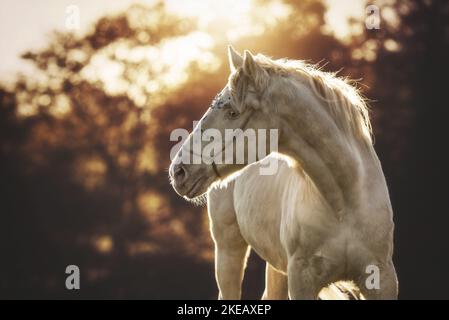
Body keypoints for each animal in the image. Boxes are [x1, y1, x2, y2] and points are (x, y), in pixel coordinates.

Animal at [167, 46, 396, 298]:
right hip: (228, 250)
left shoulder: (381, 279)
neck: (344, 203)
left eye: (232, 113)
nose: (178, 171)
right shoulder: (301, 280)